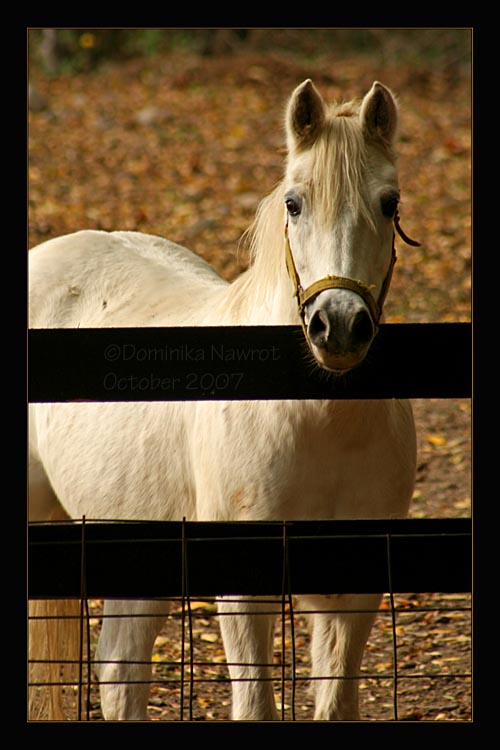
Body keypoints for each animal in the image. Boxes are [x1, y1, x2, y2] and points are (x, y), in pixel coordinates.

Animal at [28, 81, 418, 724]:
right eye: (294, 204)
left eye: (389, 203)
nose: (338, 326)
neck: (312, 419)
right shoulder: (242, 589)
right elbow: (256, 706)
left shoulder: (353, 591)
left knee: (119, 672)